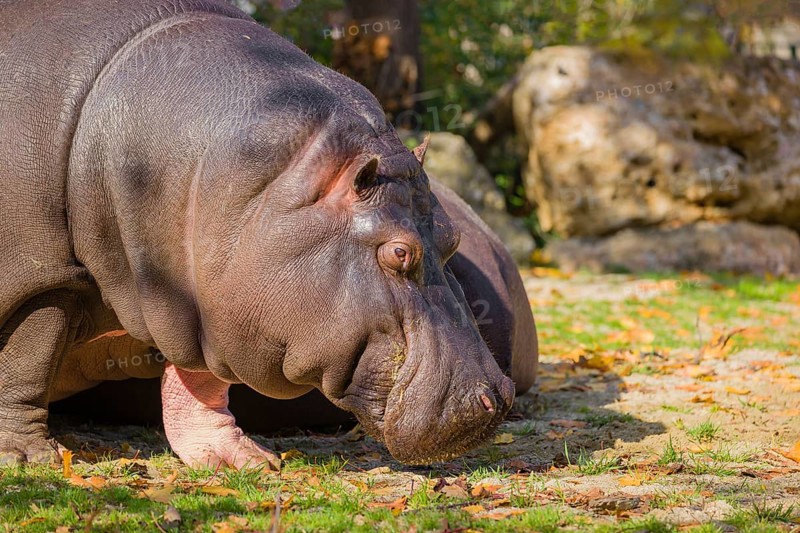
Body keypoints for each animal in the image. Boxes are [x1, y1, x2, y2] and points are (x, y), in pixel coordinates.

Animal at [0, 0, 537, 468]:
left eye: (451, 238)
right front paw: (28, 458)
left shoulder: (200, 291)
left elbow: (200, 377)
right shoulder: (46, 273)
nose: (495, 397)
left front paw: (239, 460)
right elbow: (28, 356)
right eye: (400, 252)